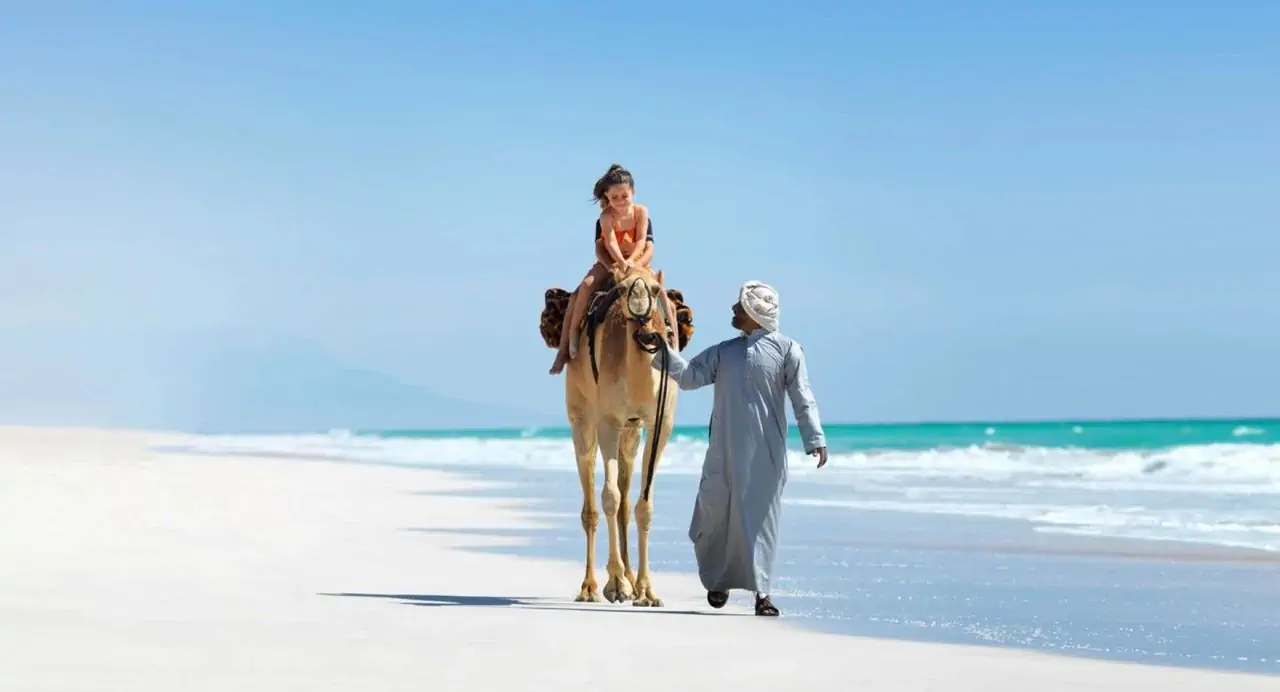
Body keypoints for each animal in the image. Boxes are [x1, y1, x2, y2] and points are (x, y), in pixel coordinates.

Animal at [540, 263, 701, 603]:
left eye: (655, 289)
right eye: (624, 288)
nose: (639, 303)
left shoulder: (659, 424)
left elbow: (643, 504)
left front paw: (647, 590)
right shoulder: (608, 421)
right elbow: (609, 497)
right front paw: (615, 584)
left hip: (631, 433)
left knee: (627, 497)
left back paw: (630, 578)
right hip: (581, 418)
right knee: (591, 496)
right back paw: (590, 588)